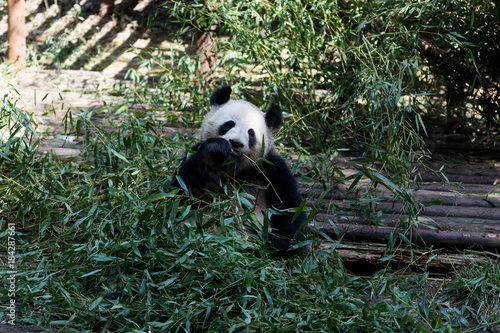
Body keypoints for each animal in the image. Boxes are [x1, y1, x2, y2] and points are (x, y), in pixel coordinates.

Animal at [173, 85, 308, 254]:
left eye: (251, 133)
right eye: (229, 124)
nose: (235, 143)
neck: (234, 169)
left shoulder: (271, 170)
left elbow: (289, 207)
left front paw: (281, 242)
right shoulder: (192, 155)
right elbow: (181, 192)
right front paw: (215, 149)